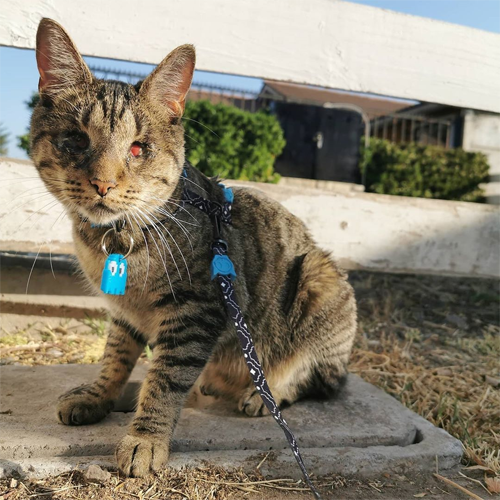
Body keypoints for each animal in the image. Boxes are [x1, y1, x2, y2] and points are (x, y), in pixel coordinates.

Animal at [31, 18, 358, 476]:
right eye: (76, 141)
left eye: (139, 148)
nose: (103, 184)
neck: (118, 237)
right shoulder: (125, 313)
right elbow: (115, 357)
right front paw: (100, 395)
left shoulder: (196, 310)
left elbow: (167, 380)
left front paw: (145, 438)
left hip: (321, 281)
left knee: (315, 377)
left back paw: (264, 394)